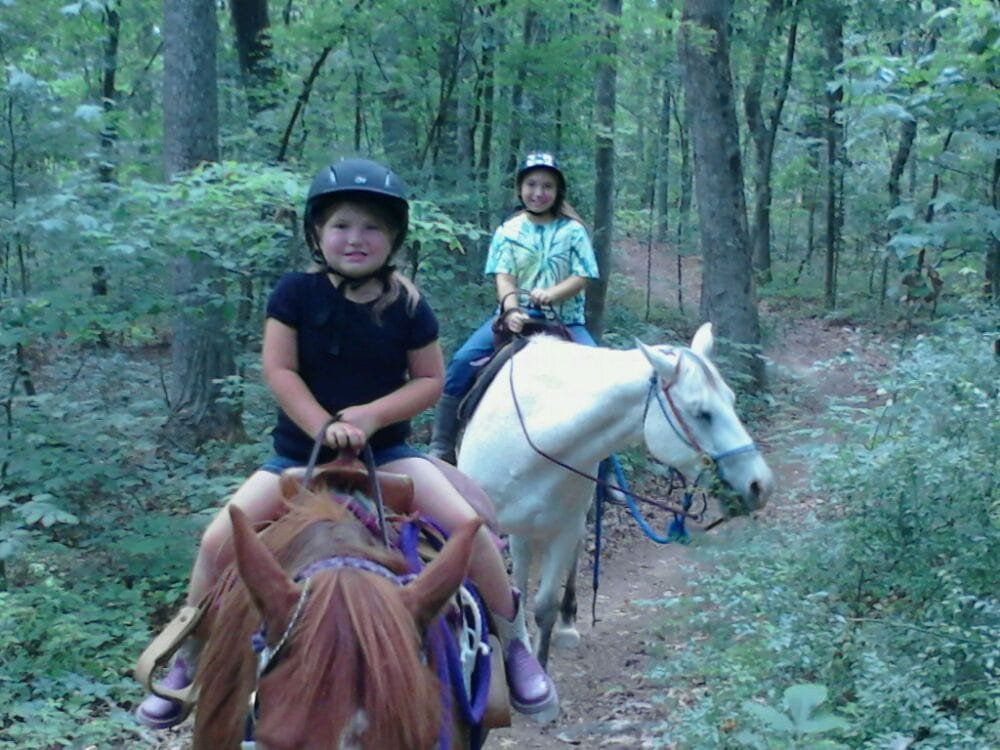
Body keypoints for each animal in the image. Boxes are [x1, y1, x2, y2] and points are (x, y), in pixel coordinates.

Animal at [457, 323, 775, 667]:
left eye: (731, 399)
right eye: (703, 413)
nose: (760, 485)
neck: (531, 431)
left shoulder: (563, 530)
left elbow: (544, 608)